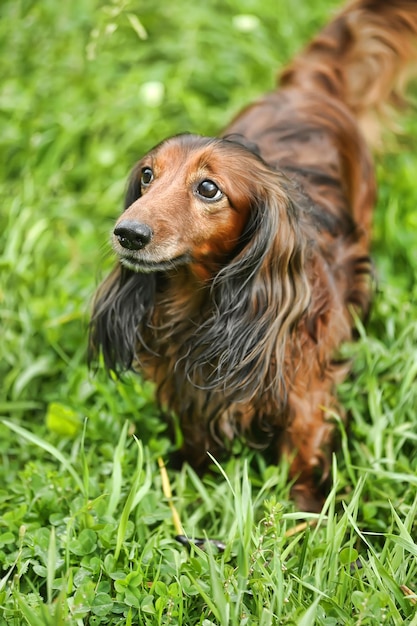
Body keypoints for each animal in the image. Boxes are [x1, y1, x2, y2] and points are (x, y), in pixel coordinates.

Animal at [88, 0, 416, 510]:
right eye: (146, 175)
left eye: (209, 188)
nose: (127, 234)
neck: (202, 310)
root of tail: (306, 87)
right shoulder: (185, 392)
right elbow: (198, 446)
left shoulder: (306, 401)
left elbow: (302, 465)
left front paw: (306, 516)